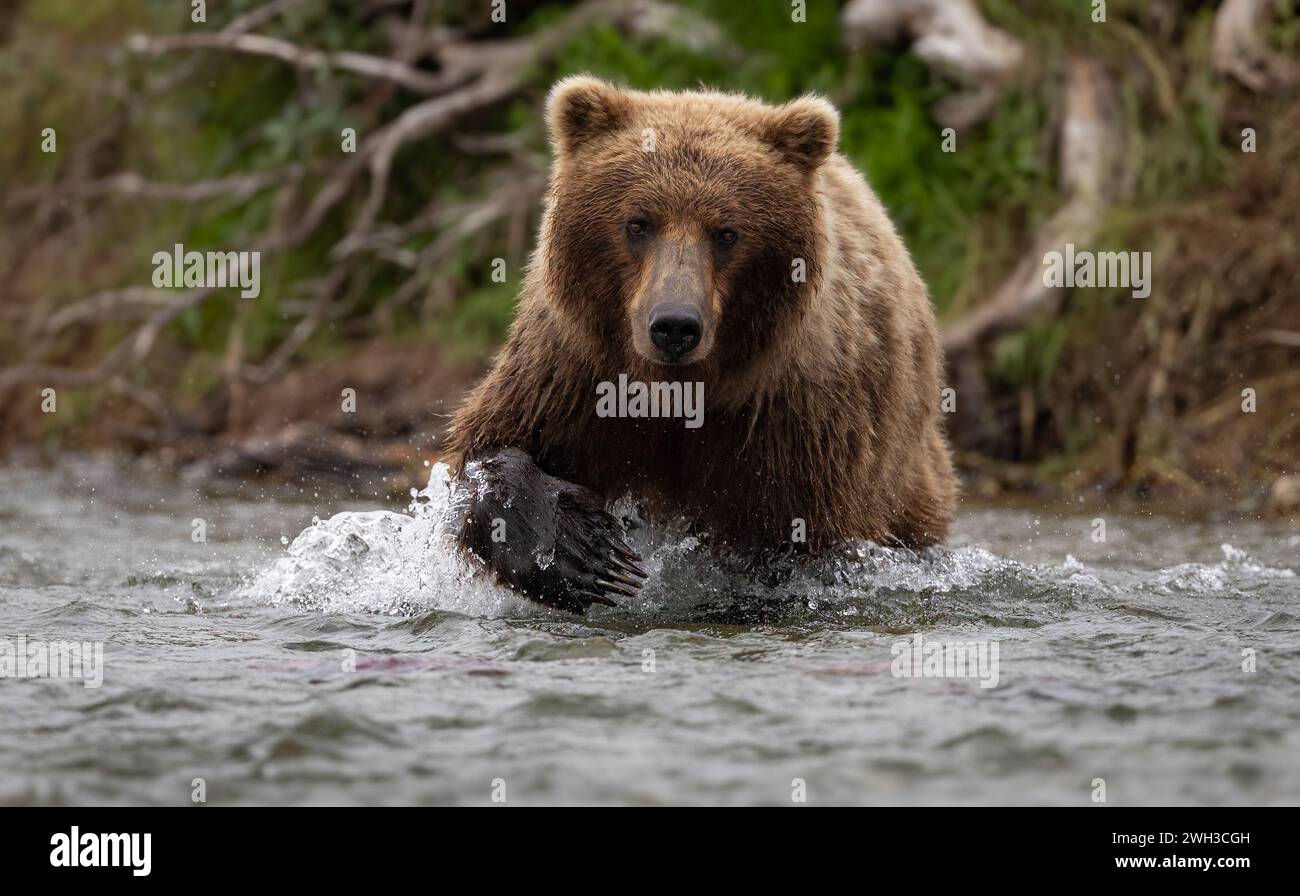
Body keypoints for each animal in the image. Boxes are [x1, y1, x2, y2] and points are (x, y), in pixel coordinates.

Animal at [444, 76, 956, 611]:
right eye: (637, 223)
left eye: (727, 232)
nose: (674, 326)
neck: (681, 389)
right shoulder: (573, 371)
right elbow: (491, 445)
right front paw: (583, 553)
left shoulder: (798, 422)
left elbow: (799, 544)